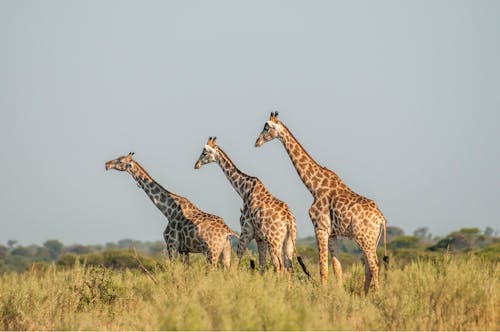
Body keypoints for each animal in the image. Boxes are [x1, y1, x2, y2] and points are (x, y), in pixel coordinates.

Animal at [104, 152, 237, 268]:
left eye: (120, 161)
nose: (107, 164)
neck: (168, 211)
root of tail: (227, 231)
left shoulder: (172, 245)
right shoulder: (184, 249)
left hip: (211, 251)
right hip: (226, 252)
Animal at [193, 137, 300, 278]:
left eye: (204, 153)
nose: (196, 165)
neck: (243, 190)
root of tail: (289, 220)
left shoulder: (246, 230)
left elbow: (235, 262)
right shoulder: (259, 237)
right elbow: (262, 266)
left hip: (274, 241)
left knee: (279, 266)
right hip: (289, 241)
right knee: (288, 267)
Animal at [256, 112, 388, 294]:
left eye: (266, 127)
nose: (257, 142)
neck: (314, 187)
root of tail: (381, 218)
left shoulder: (320, 228)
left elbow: (323, 268)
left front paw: (323, 294)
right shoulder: (332, 233)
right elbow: (337, 268)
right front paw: (338, 294)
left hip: (365, 238)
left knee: (374, 265)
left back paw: (377, 295)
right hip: (371, 239)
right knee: (369, 266)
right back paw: (364, 296)